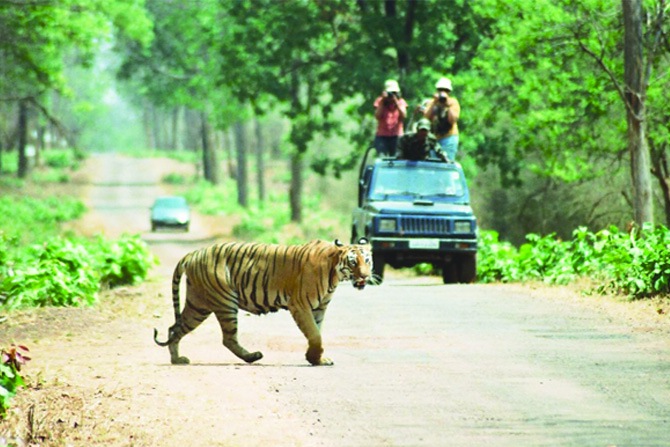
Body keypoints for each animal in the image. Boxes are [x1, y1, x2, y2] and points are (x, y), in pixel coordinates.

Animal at [154, 238, 372, 368]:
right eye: (353, 262)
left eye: (367, 260)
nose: (365, 276)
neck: (334, 273)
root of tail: (194, 253)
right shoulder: (300, 305)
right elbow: (315, 334)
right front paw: (314, 358)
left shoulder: (319, 308)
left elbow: (317, 333)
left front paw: (316, 359)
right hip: (224, 302)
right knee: (228, 339)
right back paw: (253, 357)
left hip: (198, 304)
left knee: (175, 328)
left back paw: (176, 359)